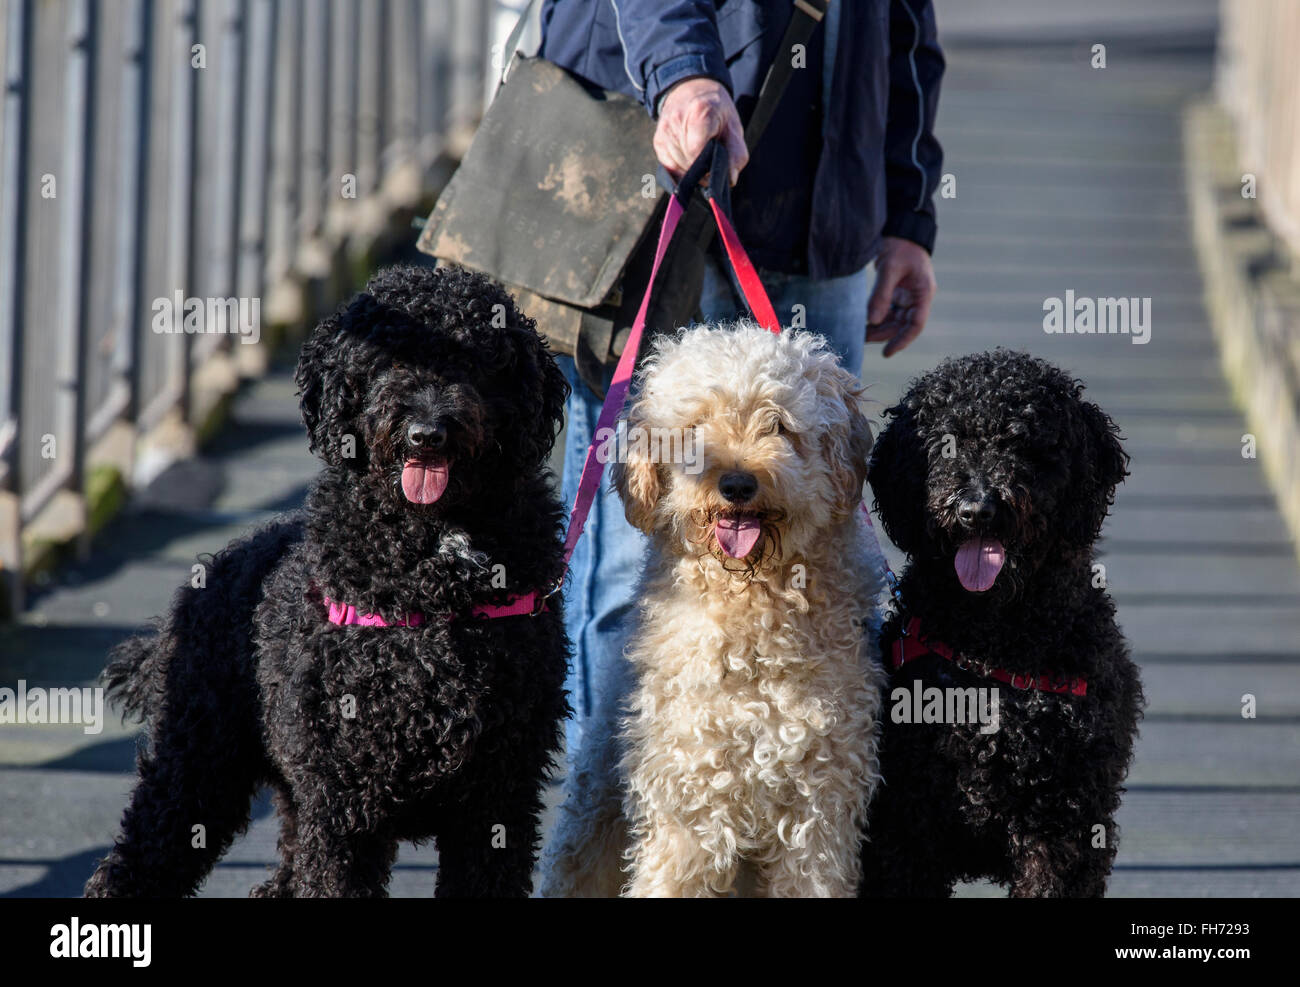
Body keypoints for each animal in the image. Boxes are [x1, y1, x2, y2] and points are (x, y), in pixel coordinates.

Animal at [82, 266, 569, 899]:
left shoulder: (499, 797)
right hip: (197, 762)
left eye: (477, 360)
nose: (427, 432)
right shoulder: (345, 800)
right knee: (138, 856)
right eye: (389, 360)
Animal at [538, 322, 883, 894]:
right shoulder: (690, 804)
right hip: (597, 806)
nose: (737, 483)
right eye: (695, 427)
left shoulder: (816, 817)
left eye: (778, 424)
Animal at [863, 351, 1149, 899]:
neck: (992, 650)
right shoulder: (906, 829)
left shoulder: (1065, 831)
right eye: (944, 442)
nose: (976, 509)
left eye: (1024, 443)